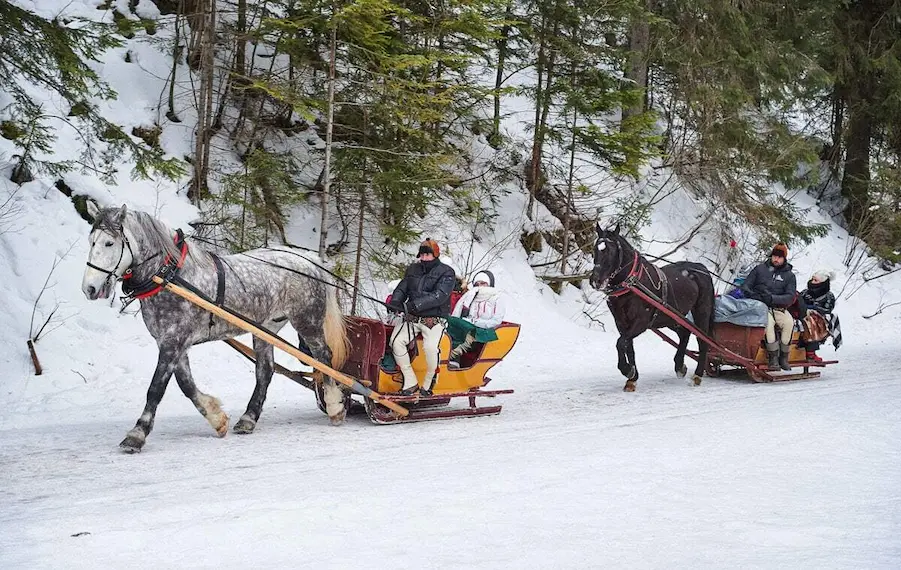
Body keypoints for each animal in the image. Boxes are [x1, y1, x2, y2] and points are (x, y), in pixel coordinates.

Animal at [81, 202, 348, 450]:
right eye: (91, 242)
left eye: (109, 243)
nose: (89, 288)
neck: (170, 275)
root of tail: (311, 260)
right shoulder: (173, 342)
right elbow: (186, 385)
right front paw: (217, 418)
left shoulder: (173, 341)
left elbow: (156, 388)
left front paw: (137, 433)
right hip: (267, 328)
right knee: (265, 370)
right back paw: (248, 418)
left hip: (307, 320)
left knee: (324, 357)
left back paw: (335, 406)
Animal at [588, 224, 712, 388]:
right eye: (595, 248)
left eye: (611, 251)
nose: (595, 280)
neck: (632, 283)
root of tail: (701, 267)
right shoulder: (621, 322)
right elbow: (628, 346)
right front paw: (632, 376)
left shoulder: (641, 322)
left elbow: (620, 343)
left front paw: (627, 370)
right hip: (670, 317)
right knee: (685, 333)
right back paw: (679, 366)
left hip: (701, 311)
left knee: (702, 340)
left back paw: (697, 375)